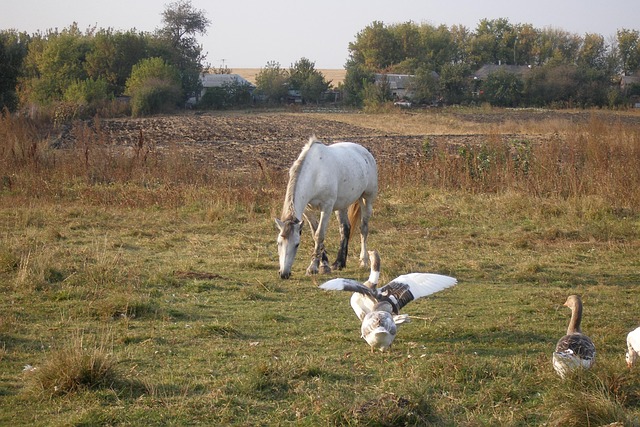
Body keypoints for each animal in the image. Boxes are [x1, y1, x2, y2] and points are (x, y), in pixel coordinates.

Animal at [275, 137, 378, 279]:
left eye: (297, 244)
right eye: (279, 243)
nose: (284, 274)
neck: (315, 173)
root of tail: (365, 152)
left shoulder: (327, 207)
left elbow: (320, 235)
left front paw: (313, 268)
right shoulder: (308, 210)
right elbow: (315, 234)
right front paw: (324, 264)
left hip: (366, 199)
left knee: (363, 229)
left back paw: (364, 261)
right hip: (342, 204)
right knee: (345, 229)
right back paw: (339, 263)